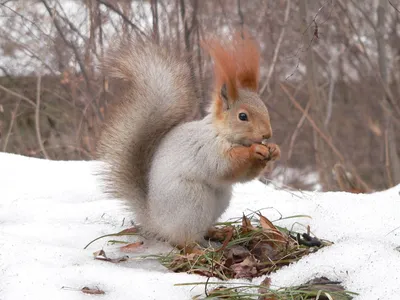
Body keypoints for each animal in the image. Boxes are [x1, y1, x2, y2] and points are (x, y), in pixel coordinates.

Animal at [97, 31, 282, 250]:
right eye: (242, 116)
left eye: (264, 108)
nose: (266, 134)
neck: (222, 132)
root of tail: (156, 223)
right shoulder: (207, 149)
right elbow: (225, 165)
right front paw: (254, 151)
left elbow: (245, 175)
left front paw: (274, 149)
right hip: (191, 203)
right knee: (183, 240)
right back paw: (196, 250)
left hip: (219, 200)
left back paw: (217, 232)